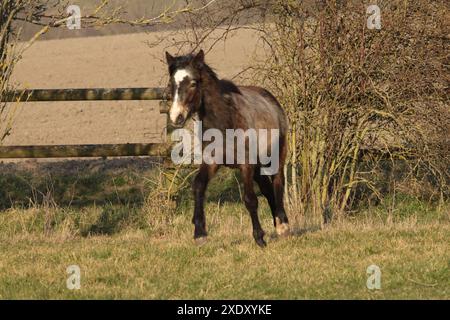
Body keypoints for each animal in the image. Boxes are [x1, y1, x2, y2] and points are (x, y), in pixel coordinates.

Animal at [167, 49, 290, 248]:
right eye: (172, 84)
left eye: (193, 83)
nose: (176, 116)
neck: (225, 120)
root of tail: (272, 101)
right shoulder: (212, 162)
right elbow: (198, 186)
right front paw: (199, 233)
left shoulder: (246, 165)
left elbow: (250, 200)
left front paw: (259, 237)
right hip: (258, 167)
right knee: (267, 189)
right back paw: (277, 223)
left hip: (276, 156)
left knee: (278, 183)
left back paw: (283, 226)